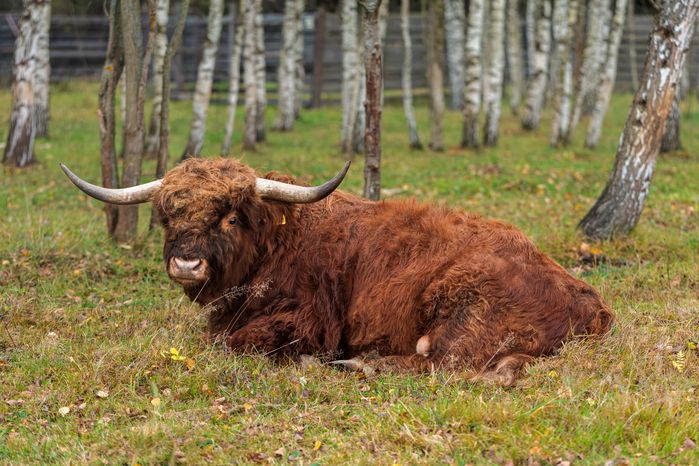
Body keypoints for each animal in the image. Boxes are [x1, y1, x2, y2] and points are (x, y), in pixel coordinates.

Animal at [61, 158, 613, 384]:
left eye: (231, 216)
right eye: (168, 216)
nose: (187, 263)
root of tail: (592, 302)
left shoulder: (309, 322)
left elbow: (229, 342)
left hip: (463, 312)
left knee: (440, 364)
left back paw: (355, 365)